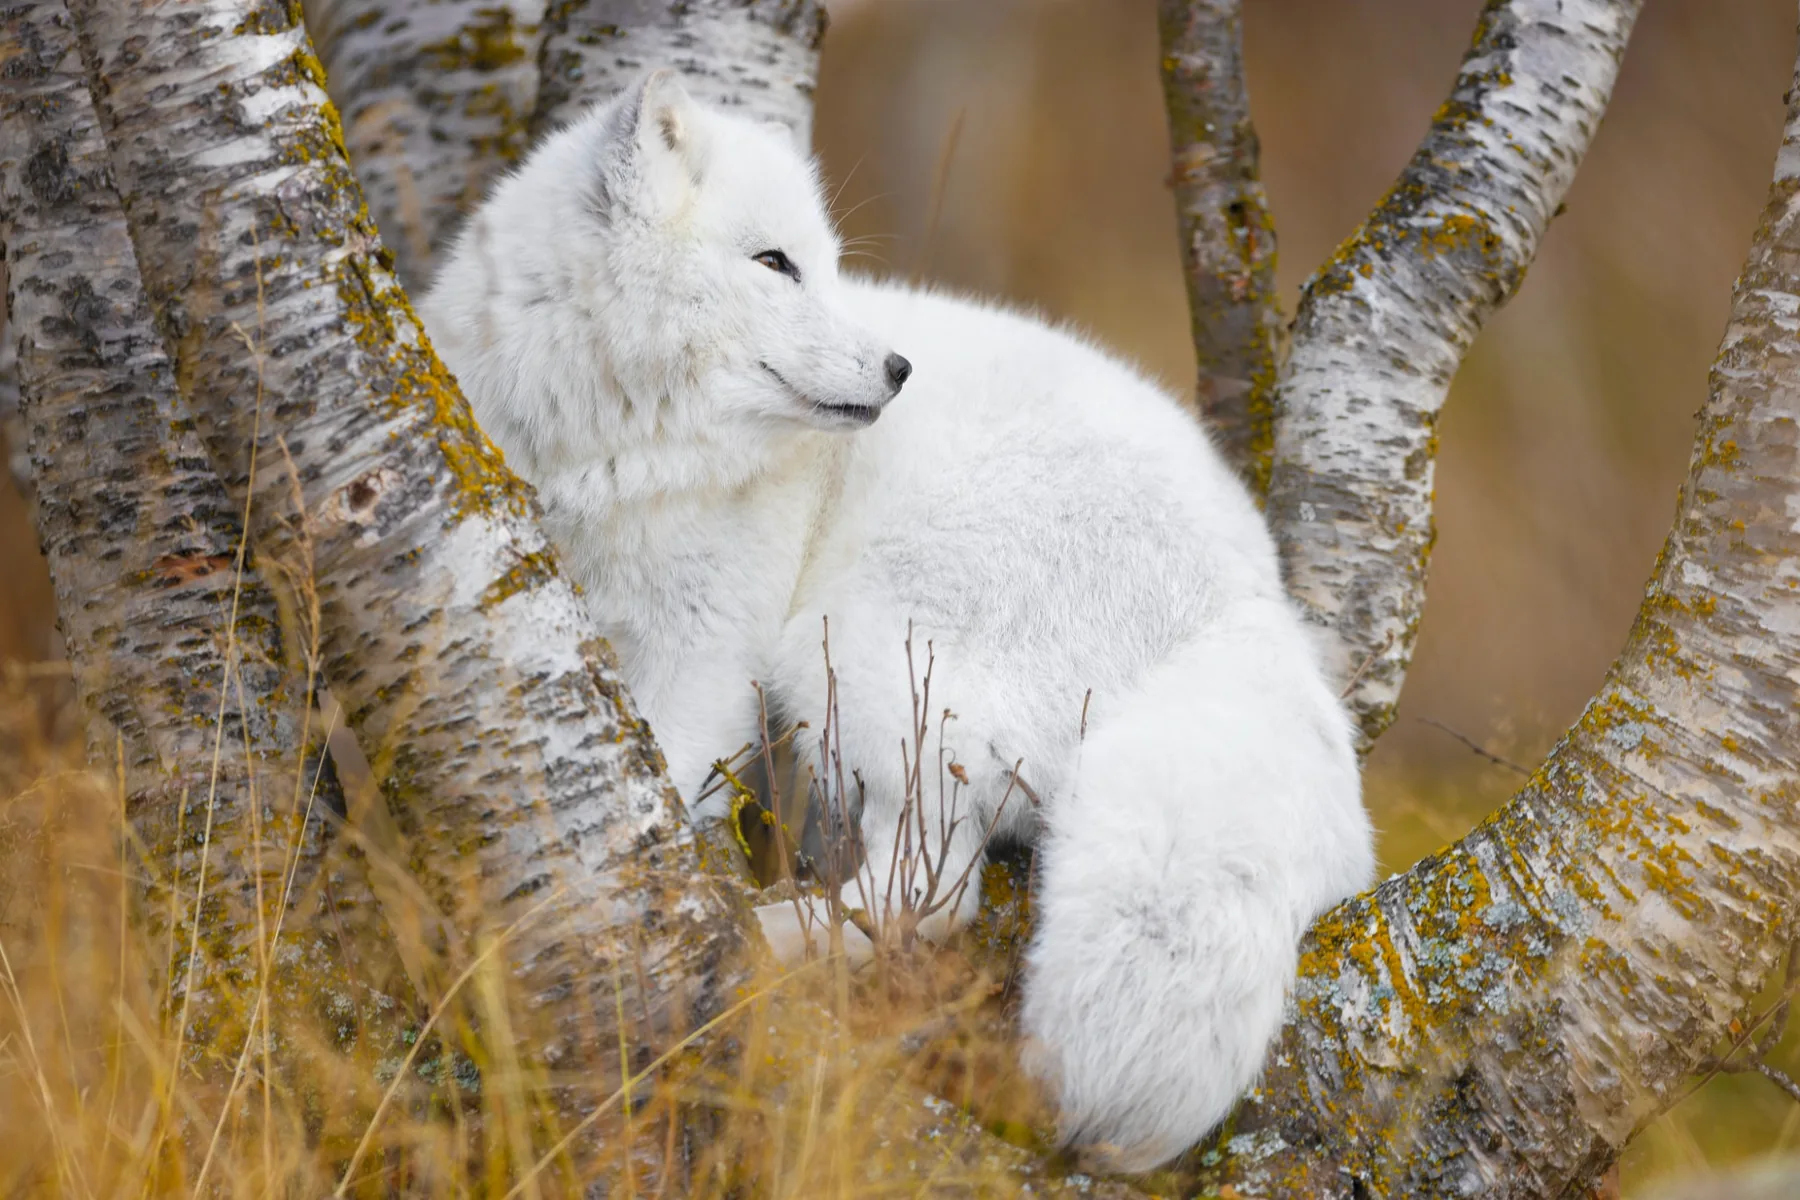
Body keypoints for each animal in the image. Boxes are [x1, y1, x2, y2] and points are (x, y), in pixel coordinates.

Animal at [419, 69, 1374, 1172]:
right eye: (776, 263)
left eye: (828, 265)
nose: (897, 369)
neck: (615, 454)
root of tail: (1250, 605)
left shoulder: (710, 650)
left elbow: (657, 774)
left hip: (860, 658)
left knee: (927, 904)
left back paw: (761, 947)